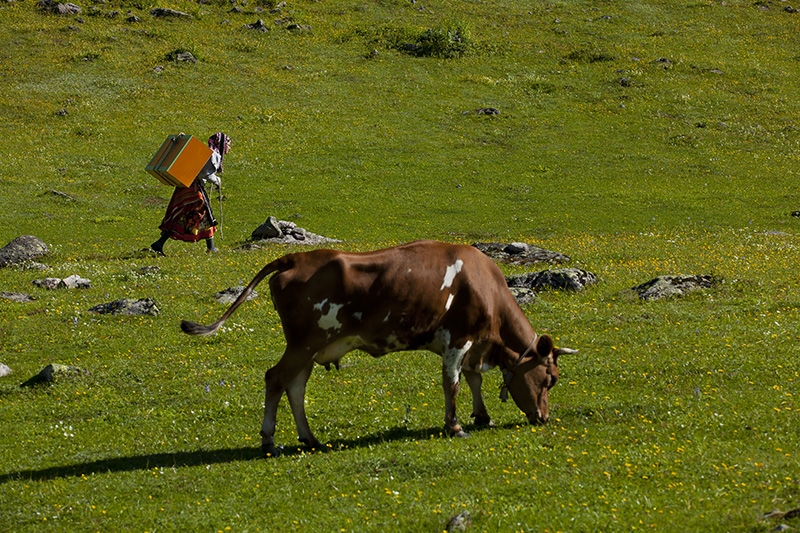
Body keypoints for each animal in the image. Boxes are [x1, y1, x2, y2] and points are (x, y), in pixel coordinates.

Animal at [181, 239, 576, 456]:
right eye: (550, 379)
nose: (543, 417)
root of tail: (296, 257)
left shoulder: (473, 345)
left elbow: (473, 379)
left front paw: (482, 416)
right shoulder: (457, 339)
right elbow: (453, 382)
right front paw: (455, 425)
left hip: (308, 347)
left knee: (295, 385)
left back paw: (309, 438)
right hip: (304, 342)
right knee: (276, 379)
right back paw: (268, 441)